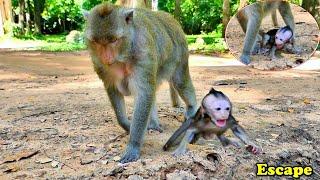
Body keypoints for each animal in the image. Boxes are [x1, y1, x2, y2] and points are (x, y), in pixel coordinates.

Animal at [84, 2, 196, 163]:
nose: (106, 58)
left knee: (180, 81)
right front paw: (127, 125)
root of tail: (171, 19)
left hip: (179, 52)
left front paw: (133, 145)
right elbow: (114, 90)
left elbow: (144, 94)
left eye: (113, 40)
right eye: (96, 42)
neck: (124, 55)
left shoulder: (144, 54)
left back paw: (192, 110)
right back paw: (153, 124)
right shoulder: (99, 64)